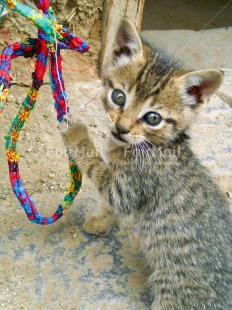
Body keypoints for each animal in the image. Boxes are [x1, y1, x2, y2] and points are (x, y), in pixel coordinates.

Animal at [61, 17, 232, 310]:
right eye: (119, 97)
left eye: (153, 118)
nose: (121, 128)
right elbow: (109, 206)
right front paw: (102, 223)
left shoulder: (127, 188)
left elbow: (97, 169)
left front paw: (77, 133)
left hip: (173, 293)